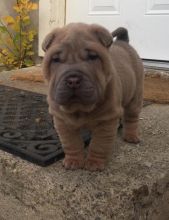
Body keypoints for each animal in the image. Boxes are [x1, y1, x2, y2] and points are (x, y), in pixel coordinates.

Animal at [41, 22, 143, 170]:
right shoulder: (62, 121)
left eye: (92, 57)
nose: (73, 80)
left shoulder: (106, 122)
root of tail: (123, 42)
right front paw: (73, 161)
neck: (80, 109)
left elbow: (98, 145)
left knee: (132, 118)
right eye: (56, 59)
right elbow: (71, 143)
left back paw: (131, 136)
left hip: (135, 97)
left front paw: (94, 163)